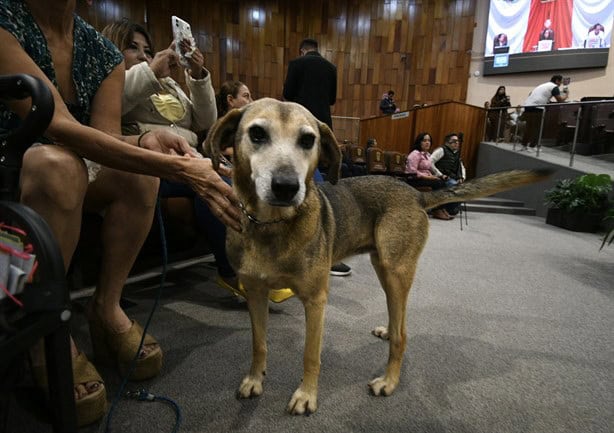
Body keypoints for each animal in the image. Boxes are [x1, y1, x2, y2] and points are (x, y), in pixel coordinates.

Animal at [207, 98, 552, 416]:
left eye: (307, 140)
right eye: (257, 133)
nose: (286, 187)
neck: (271, 225)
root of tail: (416, 194)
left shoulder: (316, 300)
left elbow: (310, 355)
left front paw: (306, 395)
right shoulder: (255, 293)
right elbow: (258, 343)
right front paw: (255, 380)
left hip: (396, 270)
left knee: (403, 334)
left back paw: (388, 380)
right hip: (383, 268)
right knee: (397, 318)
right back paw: (388, 331)